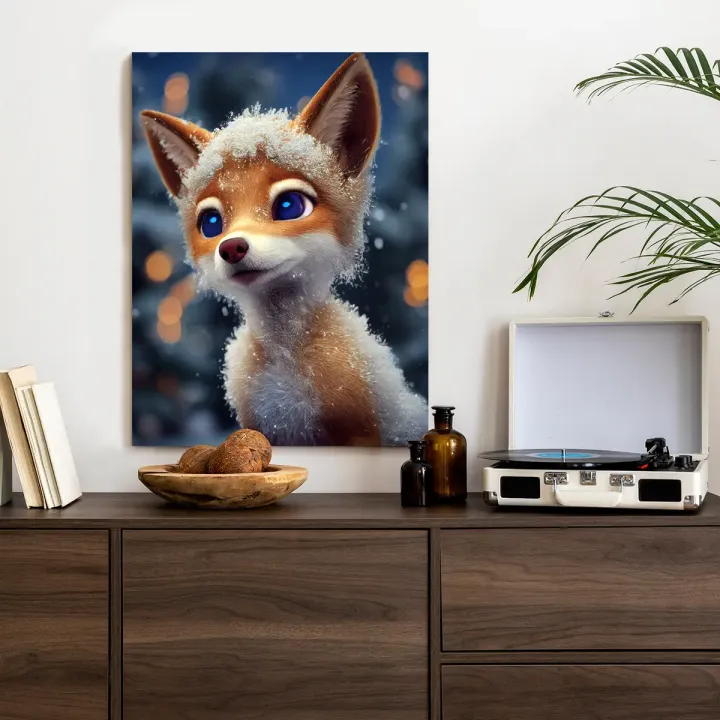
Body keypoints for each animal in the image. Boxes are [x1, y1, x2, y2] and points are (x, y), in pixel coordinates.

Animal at [140, 53, 428, 446]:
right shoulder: (260, 425)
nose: (232, 248)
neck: (284, 363)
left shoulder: (357, 429)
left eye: (290, 206)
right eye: (211, 224)